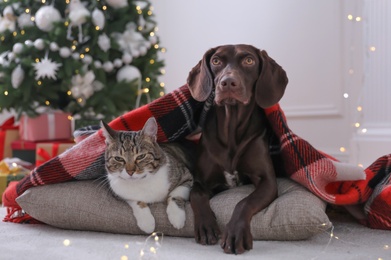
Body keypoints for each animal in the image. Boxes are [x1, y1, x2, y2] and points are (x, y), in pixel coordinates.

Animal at [185, 44, 290, 254]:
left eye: (249, 60)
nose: (227, 82)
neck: (231, 131)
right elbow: (196, 194)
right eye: (216, 61)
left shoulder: (267, 181)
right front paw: (206, 226)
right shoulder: (202, 181)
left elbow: (244, 202)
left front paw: (235, 234)